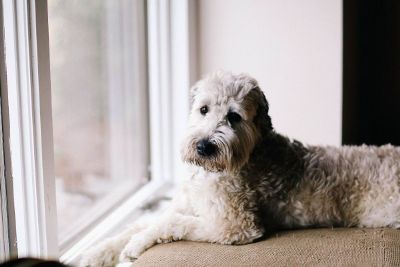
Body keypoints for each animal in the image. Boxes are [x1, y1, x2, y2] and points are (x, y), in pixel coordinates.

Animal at [80, 71, 400, 267]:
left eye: (234, 117)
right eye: (204, 109)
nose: (204, 146)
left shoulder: (233, 226)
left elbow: (171, 223)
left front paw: (135, 245)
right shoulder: (187, 204)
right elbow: (142, 222)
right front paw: (98, 252)